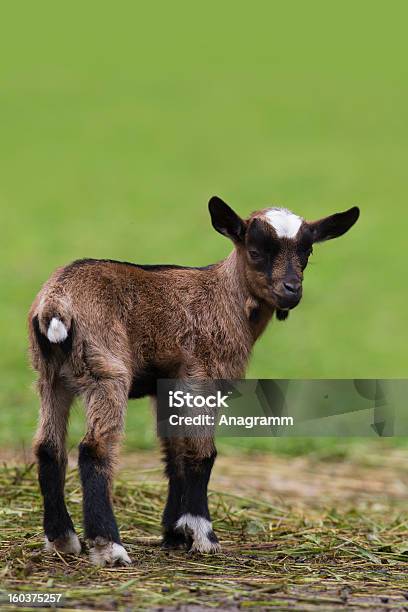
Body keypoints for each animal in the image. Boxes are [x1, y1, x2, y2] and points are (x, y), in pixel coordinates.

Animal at [29, 196, 360, 564]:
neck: (223, 296)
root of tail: (56, 301)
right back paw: (109, 547)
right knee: (95, 449)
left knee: (48, 448)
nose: (292, 290)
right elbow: (202, 454)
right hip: (106, 371)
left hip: (51, 377)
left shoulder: (169, 385)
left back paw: (62, 539)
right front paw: (203, 535)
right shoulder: (202, 377)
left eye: (307, 252)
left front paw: (175, 534)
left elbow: (175, 453)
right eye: (255, 250)